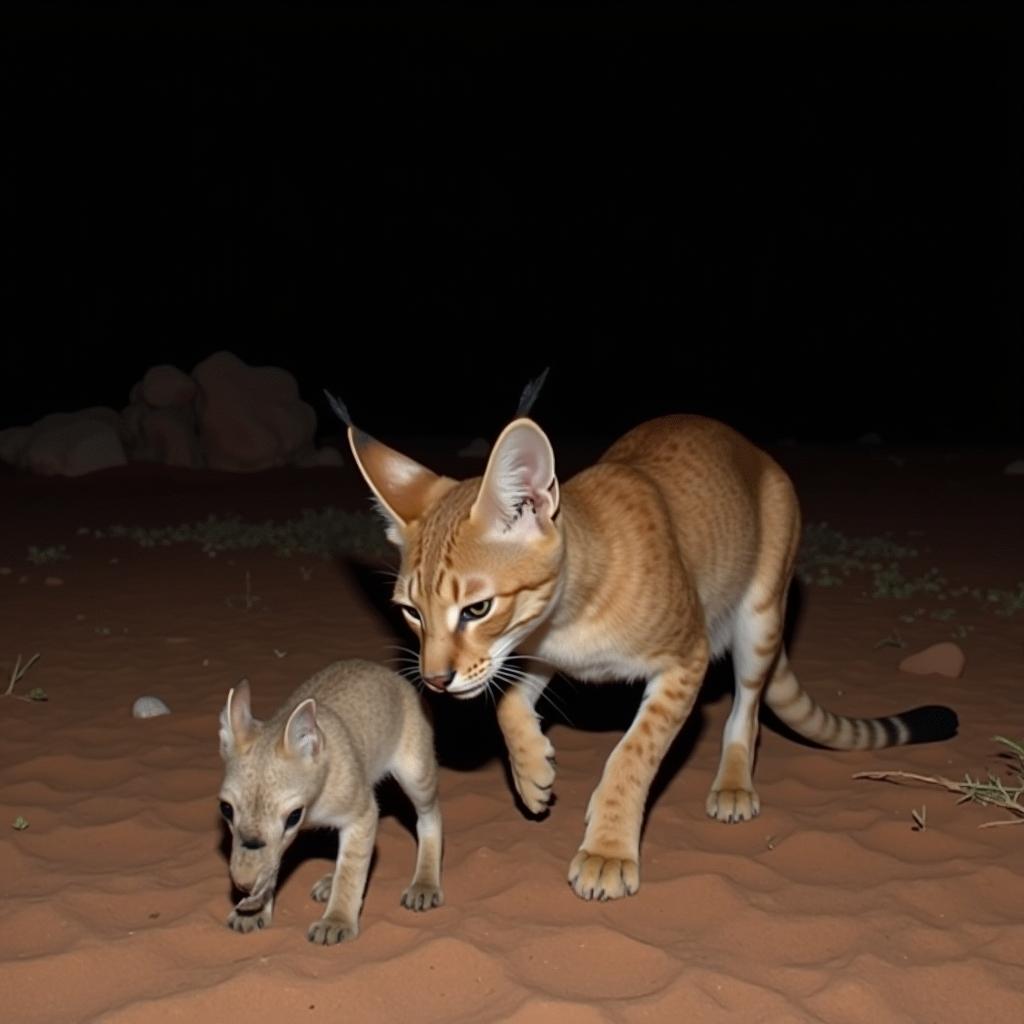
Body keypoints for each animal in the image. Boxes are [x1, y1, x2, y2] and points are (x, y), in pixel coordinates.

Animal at [329, 385, 958, 905]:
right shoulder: (536, 655)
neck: (569, 615)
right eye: (410, 612)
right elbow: (508, 703)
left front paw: (607, 850)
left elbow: (633, 753)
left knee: (747, 711)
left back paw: (733, 781)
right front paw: (532, 772)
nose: (435, 681)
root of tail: (755, 452)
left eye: (477, 609)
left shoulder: (685, 659)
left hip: (759, 618)